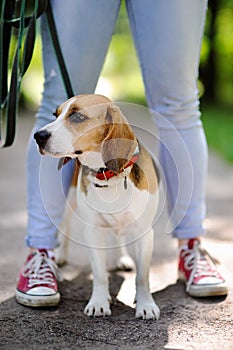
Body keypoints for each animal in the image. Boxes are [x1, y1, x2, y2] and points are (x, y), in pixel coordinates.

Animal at [34, 93, 160, 320]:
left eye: (77, 116)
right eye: (55, 115)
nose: (38, 136)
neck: (108, 175)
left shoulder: (144, 233)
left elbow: (142, 276)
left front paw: (146, 304)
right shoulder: (92, 232)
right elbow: (100, 274)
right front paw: (99, 303)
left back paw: (123, 258)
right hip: (69, 205)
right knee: (65, 228)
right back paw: (62, 256)